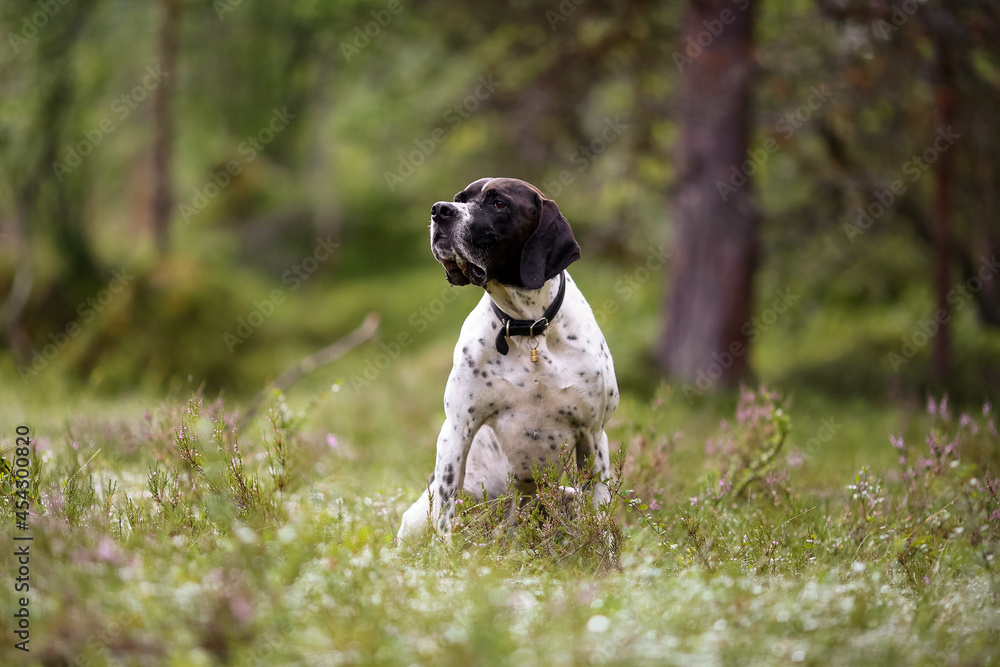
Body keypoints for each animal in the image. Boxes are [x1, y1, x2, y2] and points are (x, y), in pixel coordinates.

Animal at [396, 177, 616, 544]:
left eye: (499, 204)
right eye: (460, 198)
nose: (440, 210)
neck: (528, 328)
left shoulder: (593, 435)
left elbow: (599, 512)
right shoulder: (457, 430)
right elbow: (445, 511)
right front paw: (446, 557)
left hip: (563, 493)